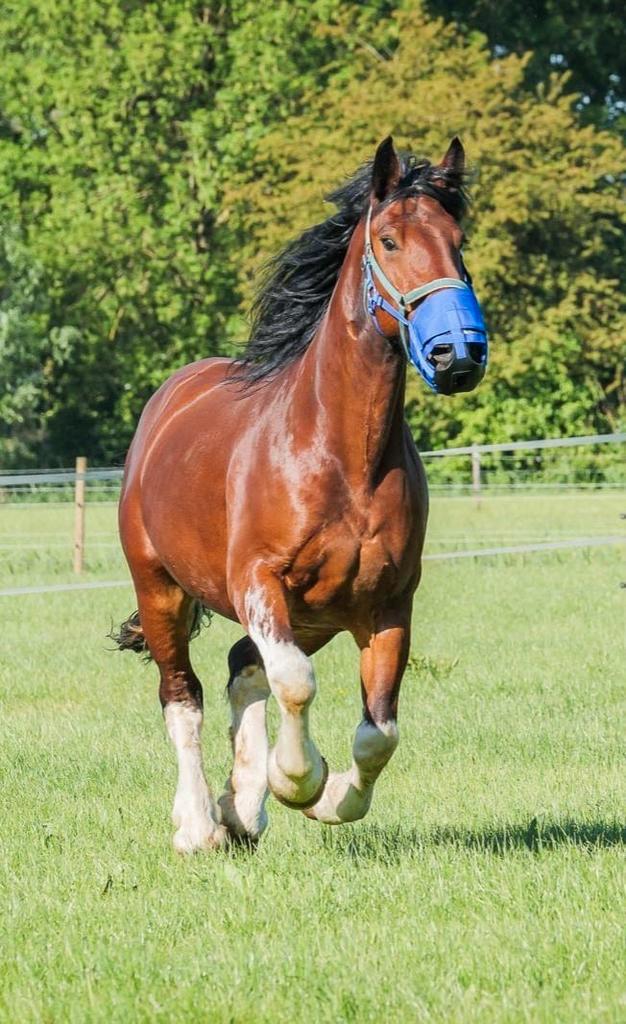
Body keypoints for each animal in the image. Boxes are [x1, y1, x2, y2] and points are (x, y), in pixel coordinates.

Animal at [115, 136, 488, 852]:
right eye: (390, 240)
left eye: (460, 242)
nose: (459, 354)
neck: (342, 458)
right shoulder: (259, 582)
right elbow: (296, 685)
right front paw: (296, 779)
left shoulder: (387, 604)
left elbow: (378, 733)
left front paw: (326, 796)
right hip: (162, 590)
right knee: (183, 696)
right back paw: (199, 823)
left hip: (313, 616)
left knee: (242, 668)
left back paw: (240, 808)